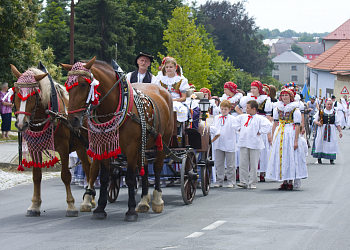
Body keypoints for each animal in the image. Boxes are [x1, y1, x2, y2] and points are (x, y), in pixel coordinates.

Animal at [11, 64, 91, 217]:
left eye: (33, 95)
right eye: (16, 93)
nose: (20, 124)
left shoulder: (63, 148)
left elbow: (65, 176)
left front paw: (71, 206)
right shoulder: (34, 148)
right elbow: (36, 176)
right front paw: (34, 205)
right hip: (81, 146)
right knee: (87, 166)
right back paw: (89, 200)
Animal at [62, 56, 174, 221]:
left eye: (83, 84)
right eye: (68, 86)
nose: (73, 119)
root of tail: (164, 91)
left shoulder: (131, 148)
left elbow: (130, 177)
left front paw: (131, 210)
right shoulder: (104, 147)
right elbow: (104, 177)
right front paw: (100, 208)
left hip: (163, 139)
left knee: (158, 167)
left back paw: (157, 200)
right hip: (143, 144)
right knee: (145, 167)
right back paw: (144, 201)